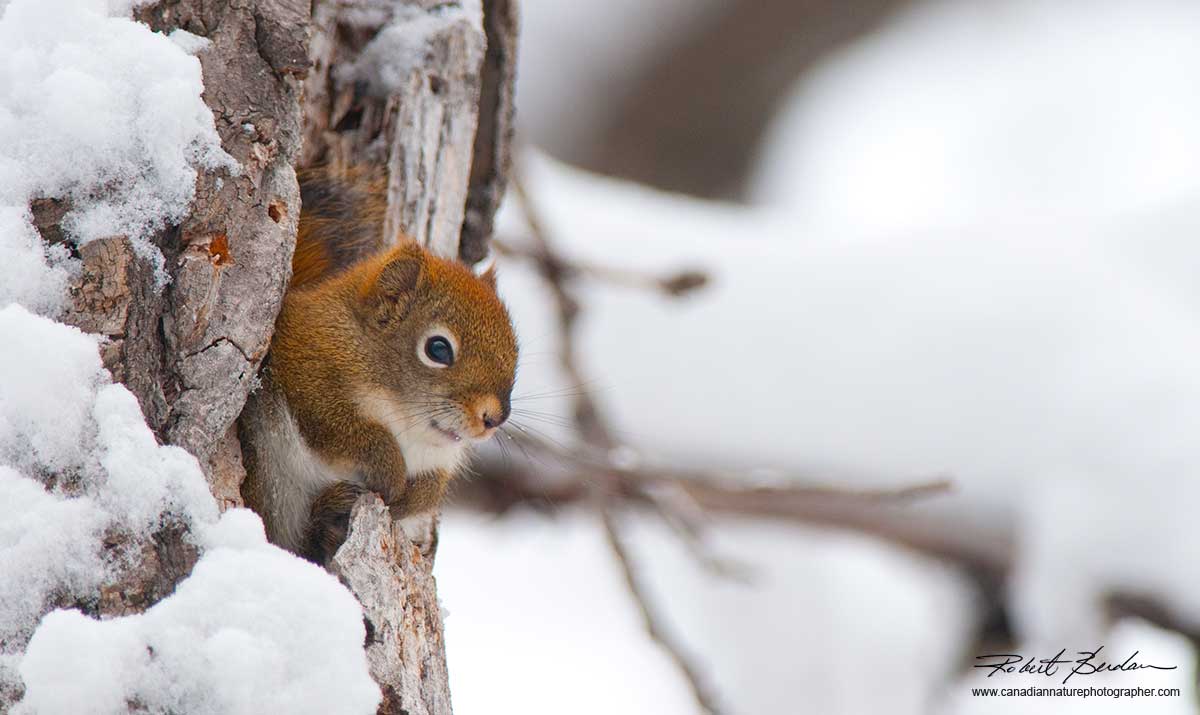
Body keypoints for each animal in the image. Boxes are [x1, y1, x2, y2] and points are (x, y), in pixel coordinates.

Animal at [239, 167, 518, 563]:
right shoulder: (304, 369)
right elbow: (348, 432)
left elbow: (431, 488)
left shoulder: (440, 458)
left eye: (514, 348)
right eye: (438, 349)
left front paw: (408, 498)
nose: (494, 418)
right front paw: (390, 472)